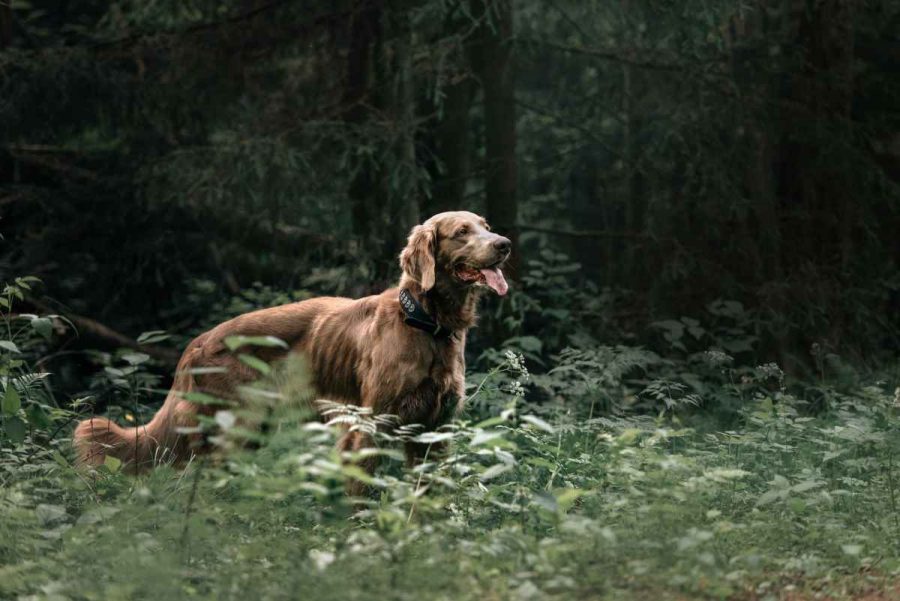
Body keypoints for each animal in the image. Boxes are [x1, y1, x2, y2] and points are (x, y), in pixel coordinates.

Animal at [74, 210, 510, 488]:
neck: (426, 324)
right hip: (231, 431)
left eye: (486, 227)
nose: (504, 244)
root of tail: (197, 344)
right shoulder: (366, 429)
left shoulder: (434, 432)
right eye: (462, 232)